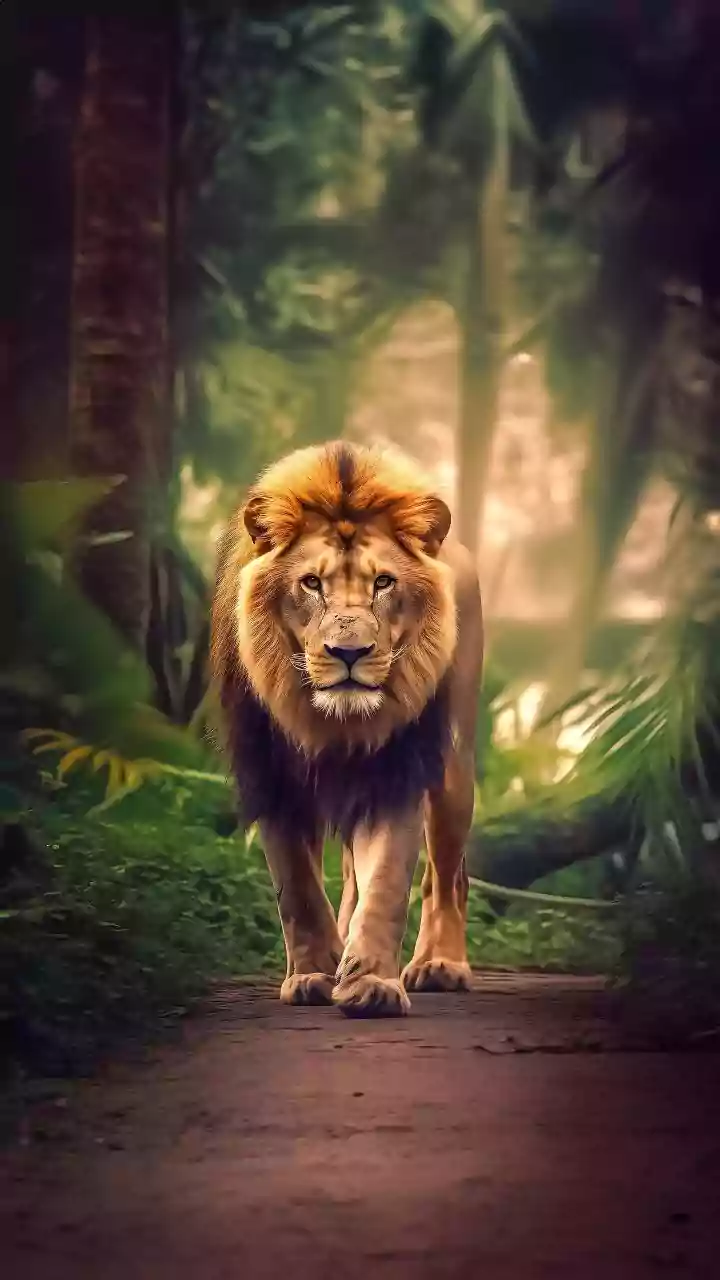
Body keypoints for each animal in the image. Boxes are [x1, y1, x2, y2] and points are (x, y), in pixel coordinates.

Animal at [210, 440, 483, 1017]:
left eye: (383, 582)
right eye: (312, 583)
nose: (350, 652)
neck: (331, 724)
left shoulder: (398, 770)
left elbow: (388, 883)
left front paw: (373, 984)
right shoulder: (272, 776)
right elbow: (297, 889)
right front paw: (315, 972)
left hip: (454, 768)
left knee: (446, 877)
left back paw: (439, 965)